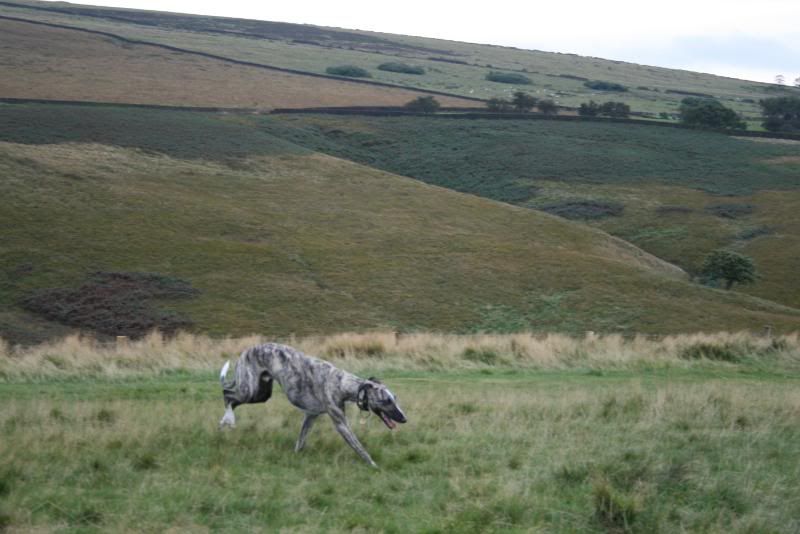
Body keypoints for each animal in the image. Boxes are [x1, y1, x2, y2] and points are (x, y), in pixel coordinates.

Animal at [219, 346, 406, 466]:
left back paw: (226, 420)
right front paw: (374, 465)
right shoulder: (341, 424)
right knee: (227, 394)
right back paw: (228, 418)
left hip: (261, 394)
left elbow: (300, 441)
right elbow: (360, 448)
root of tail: (245, 352)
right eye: (386, 401)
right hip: (249, 390)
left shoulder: (310, 416)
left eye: (395, 398)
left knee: (231, 397)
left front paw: (295, 457)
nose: (404, 419)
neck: (341, 382)